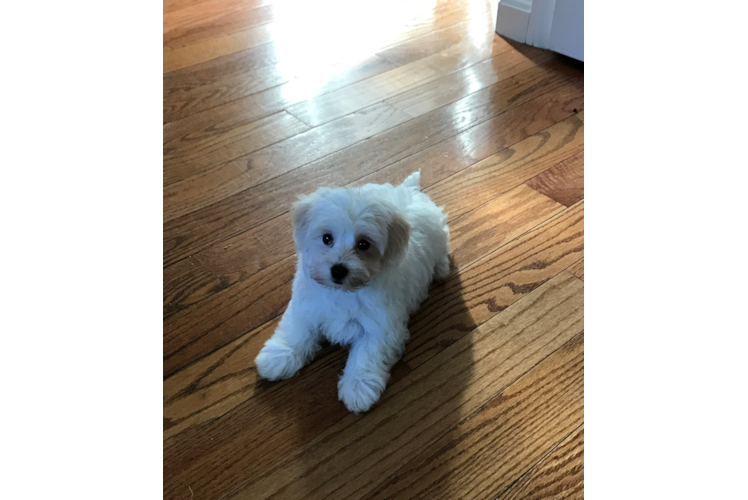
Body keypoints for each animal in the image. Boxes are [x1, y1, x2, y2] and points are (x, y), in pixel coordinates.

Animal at [254, 170, 450, 412]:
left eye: (364, 244)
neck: (342, 292)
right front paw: (280, 356)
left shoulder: (381, 327)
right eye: (326, 238)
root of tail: (409, 190)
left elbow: (367, 354)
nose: (338, 270)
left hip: (440, 237)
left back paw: (441, 269)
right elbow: (296, 329)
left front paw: (358, 386)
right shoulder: (306, 304)